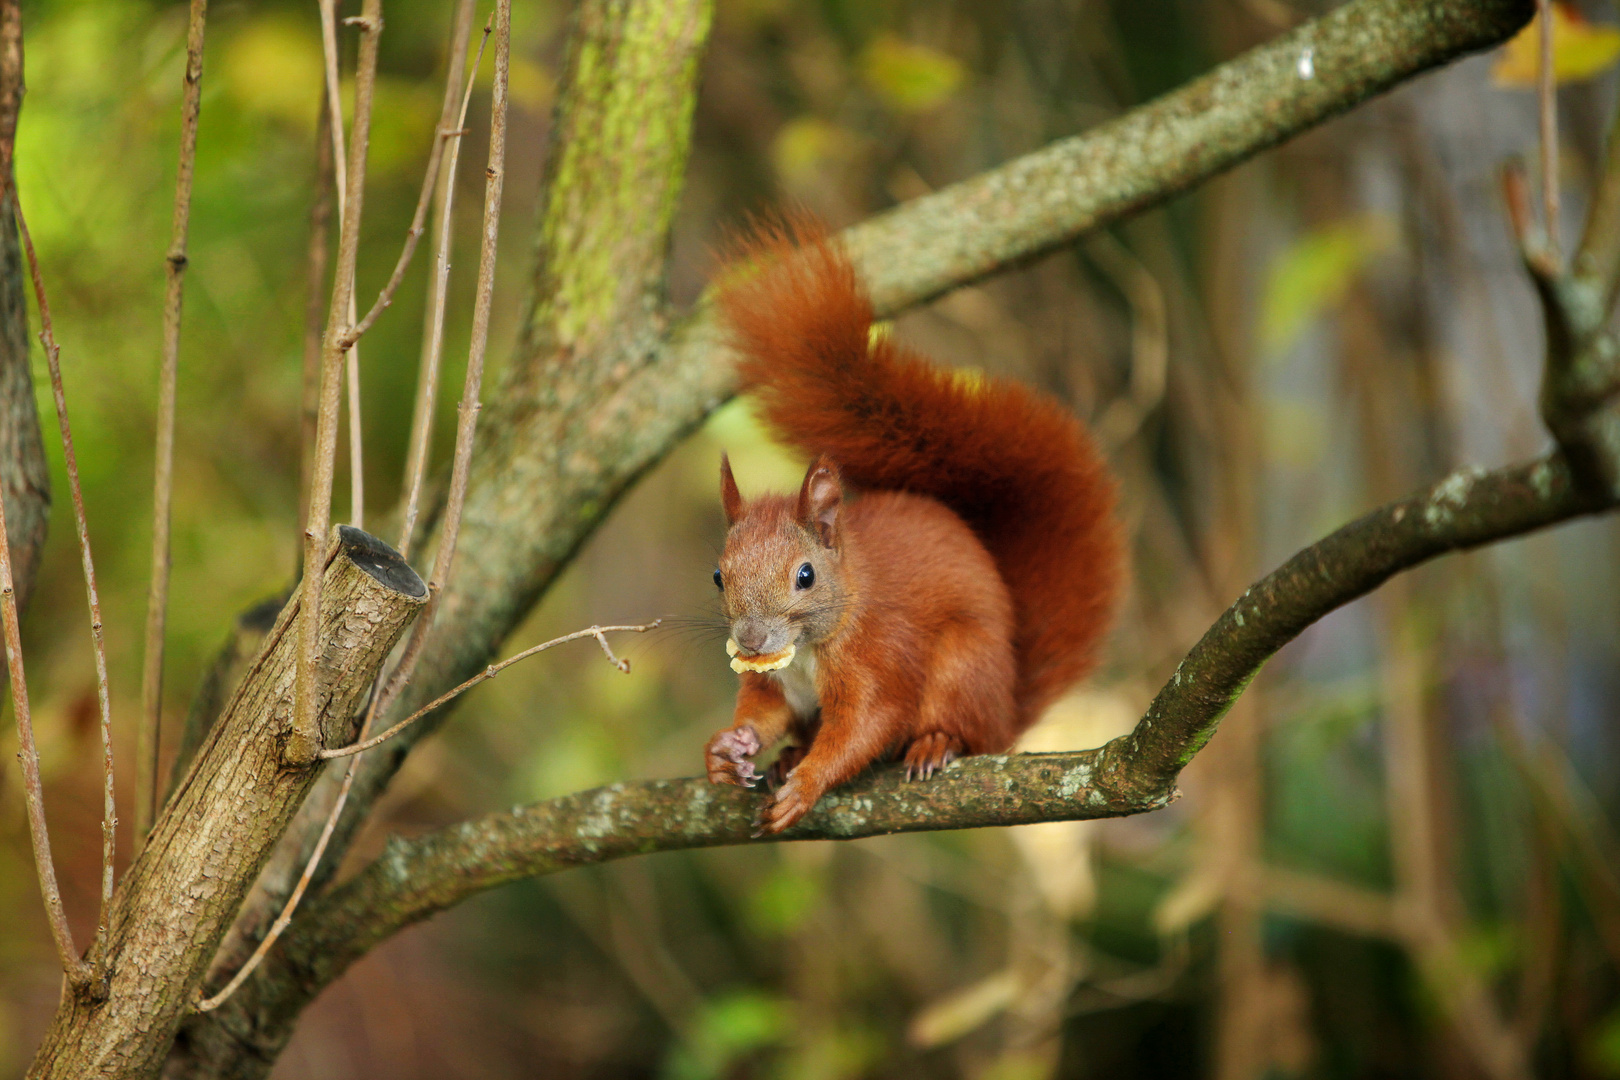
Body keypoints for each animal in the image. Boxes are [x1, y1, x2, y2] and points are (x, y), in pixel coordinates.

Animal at [703, 221, 1121, 835]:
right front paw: (728, 747)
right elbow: (764, 709)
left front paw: (808, 782)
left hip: (964, 665)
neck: (810, 647)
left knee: (960, 729)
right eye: (718, 576)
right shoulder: (774, 680)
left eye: (805, 575)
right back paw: (786, 755)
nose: (752, 640)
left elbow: (870, 722)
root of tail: (1007, 708)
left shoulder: (882, 654)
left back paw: (933, 743)